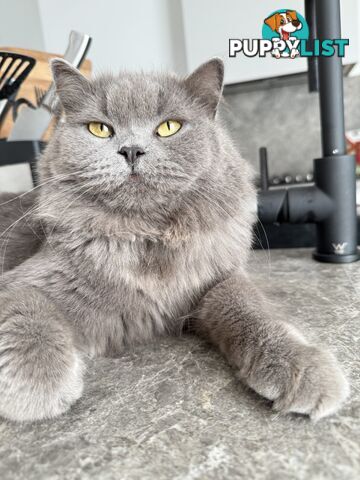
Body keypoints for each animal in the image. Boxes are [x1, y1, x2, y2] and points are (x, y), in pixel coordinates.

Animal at [0, 58, 348, 422]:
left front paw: (302, 364)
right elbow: (27, 307)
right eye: (100, 129)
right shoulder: (26, 280)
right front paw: (37, 382)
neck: (149, 237)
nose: (131, 150)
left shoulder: (215, 280)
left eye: (169, 127)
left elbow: (248, 305)